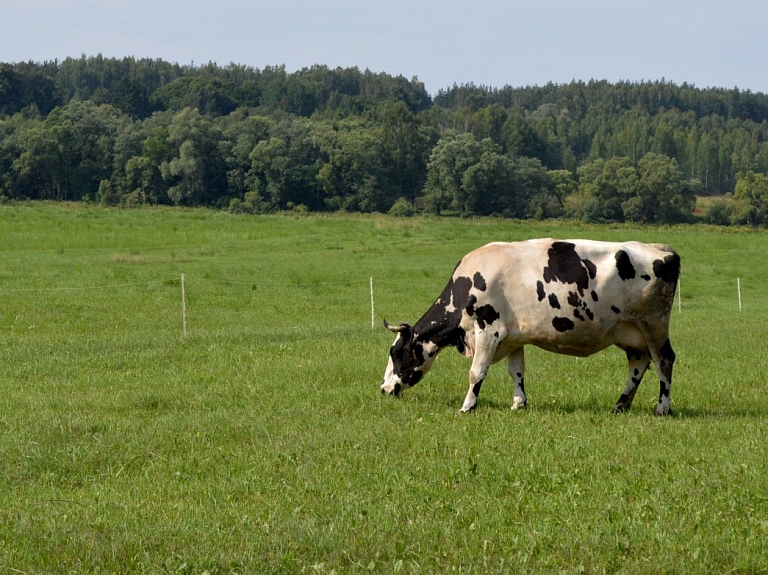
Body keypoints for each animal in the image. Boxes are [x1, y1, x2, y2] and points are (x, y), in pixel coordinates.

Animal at [382, 237, 680, 414]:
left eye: (395, 353)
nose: (383, 389)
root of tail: (662, 249)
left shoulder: (488, 329)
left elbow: (476, 372)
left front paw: (467, 406)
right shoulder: (514, 337)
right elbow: (516, 372)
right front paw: (518, 403)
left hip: (653, 325)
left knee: (664, 361)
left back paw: (662, 408)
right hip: (631, 333)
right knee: (638, 365)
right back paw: (620, 405)